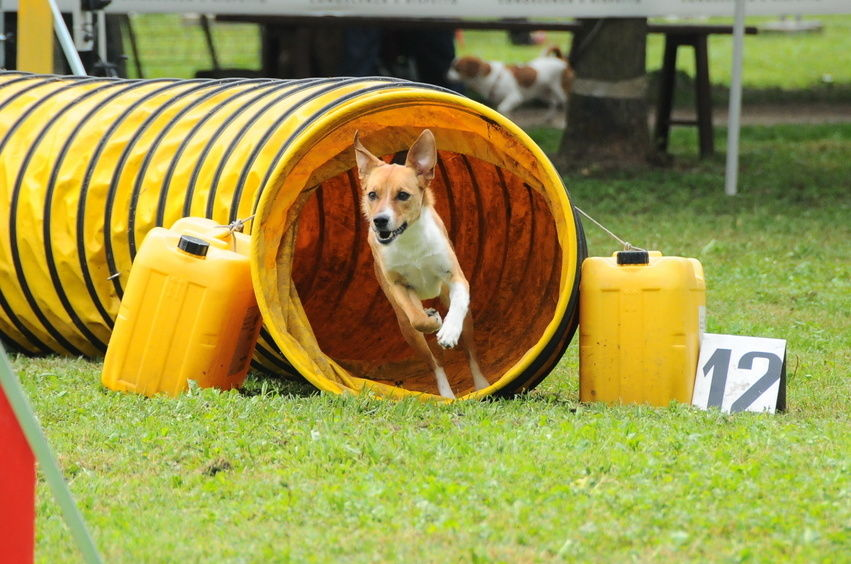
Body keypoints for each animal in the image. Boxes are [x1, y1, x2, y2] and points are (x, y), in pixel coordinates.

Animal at [352, 130, 486, 398]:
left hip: (466, 321)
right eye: (372, 194)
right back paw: (446, 394)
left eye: (403, 195)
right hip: (406, 329)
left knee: (471, 353)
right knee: (434, 363)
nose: (379, 221)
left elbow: (458, 301)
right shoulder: (399, 287)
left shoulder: (455, 277)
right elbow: (418, 319)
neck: (409, 241)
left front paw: (448, 331)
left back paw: (481, 385)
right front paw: (432, 319)